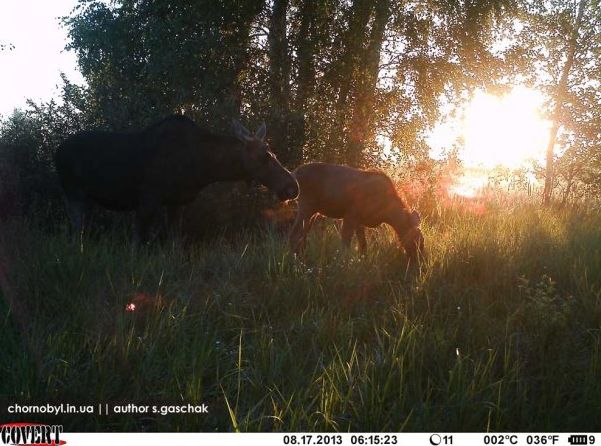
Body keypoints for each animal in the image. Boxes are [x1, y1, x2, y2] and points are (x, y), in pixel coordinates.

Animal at [55, 113, 298, 242]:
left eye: (272, 152)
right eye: (264, 156)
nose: (292, 187)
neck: (202, 168)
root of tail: (56, 152)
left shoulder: (176, 203)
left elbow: (175, 243)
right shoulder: (148, 199)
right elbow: (138, 244)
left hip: (87, 199)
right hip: (73, 193)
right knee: (75, 233)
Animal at [290, 163, 422, 262]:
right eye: (417, 238)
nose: (420, 259)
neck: (386, 214)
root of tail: (295, 172)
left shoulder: (360, 221)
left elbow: (363, 244)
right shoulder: (351, 215)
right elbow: (346, 242)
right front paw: (343, 263)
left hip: (313, 211)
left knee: (303, 233)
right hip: (306, 205)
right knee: (294, 232)